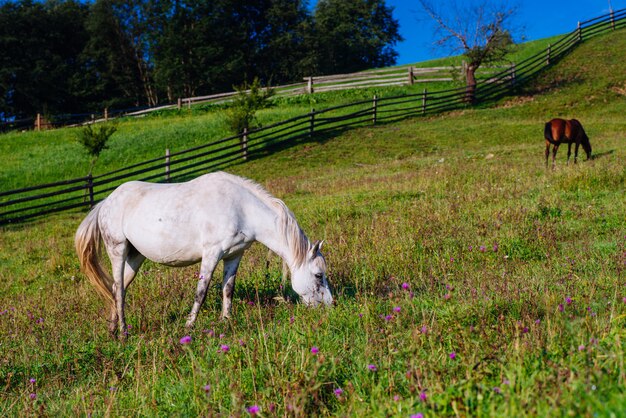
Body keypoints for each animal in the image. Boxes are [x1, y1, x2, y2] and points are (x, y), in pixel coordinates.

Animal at [74, 171, 332, 338]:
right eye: (318, 275)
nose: (331, 306)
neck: (241, 208)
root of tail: (107, 201)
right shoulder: (211, 254)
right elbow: (201, 291)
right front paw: (189, 326)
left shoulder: (233, 256)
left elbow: (228, 289)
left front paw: (226, 321)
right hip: (117, 251)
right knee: (118, 290)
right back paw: (123, 332)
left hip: (135, 256)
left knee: (117, 289)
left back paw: (112, 329)